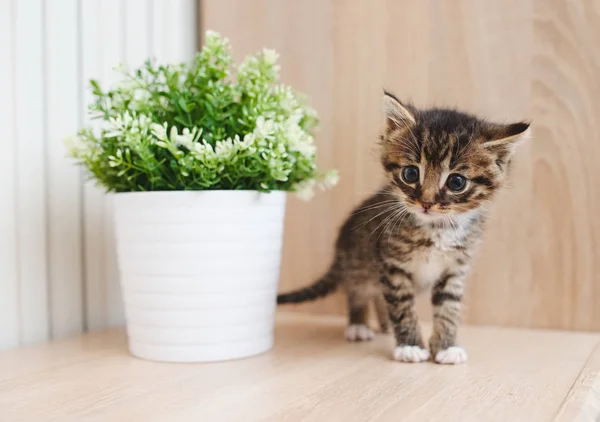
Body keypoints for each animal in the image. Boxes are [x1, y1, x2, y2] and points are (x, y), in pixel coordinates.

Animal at [276, 92, 528, 362]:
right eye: (410, 173)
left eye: (456, 182)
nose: (426, 202)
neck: (437, 228)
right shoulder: (392, 265)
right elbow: (402, 307)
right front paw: (410, 345)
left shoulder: (455, 268)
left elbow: (449, 308)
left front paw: (446, 346)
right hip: (359, 263)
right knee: (358, 291)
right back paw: (358, 324)